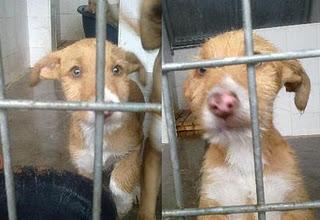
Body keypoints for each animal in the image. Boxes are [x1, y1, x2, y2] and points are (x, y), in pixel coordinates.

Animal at [30, 39, 146, 218]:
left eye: (117, 69)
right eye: (75, 71)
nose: (106, 109)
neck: (100, 133)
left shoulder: (135, 145)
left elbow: (121, 177)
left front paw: (123, 204)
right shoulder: (84, 163)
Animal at [184, 31, 314, 220]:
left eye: (257, 60)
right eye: (202, 69)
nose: (221, 103)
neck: (244, 152)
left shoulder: (295, 203)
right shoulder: (213, 204)